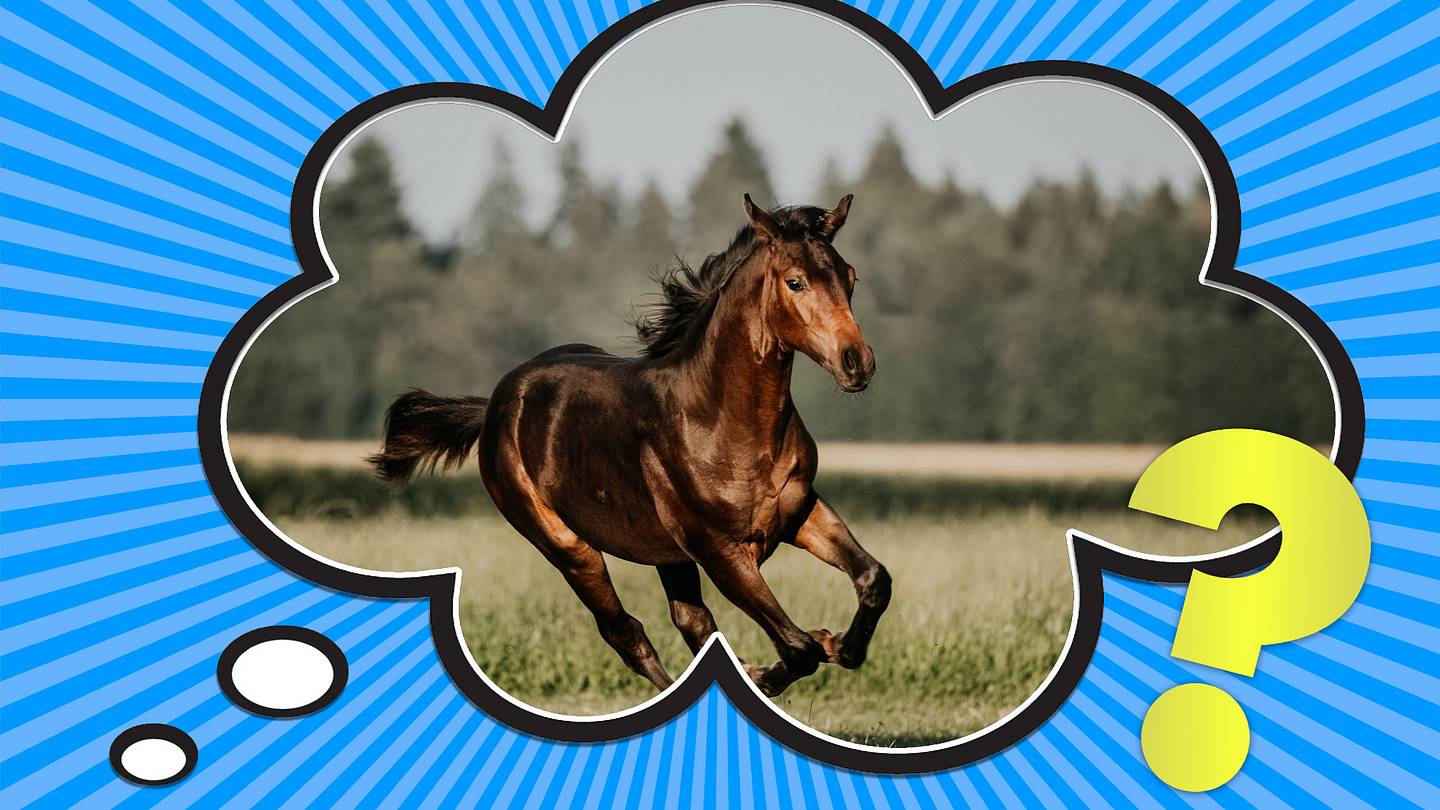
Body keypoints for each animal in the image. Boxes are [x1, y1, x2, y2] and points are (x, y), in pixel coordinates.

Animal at [370, 194, 889, 698]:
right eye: (795, 282)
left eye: (850, 277)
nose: (857, 362)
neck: (721, 419)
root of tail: (496, 405)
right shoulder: (717, 548)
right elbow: (797, 647)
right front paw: (801, 655)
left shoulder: (798, 512)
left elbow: (873, 580)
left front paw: (842, 646)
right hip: (567, 546)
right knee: (627, 633)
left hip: (667, 554)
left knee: (689, 620)